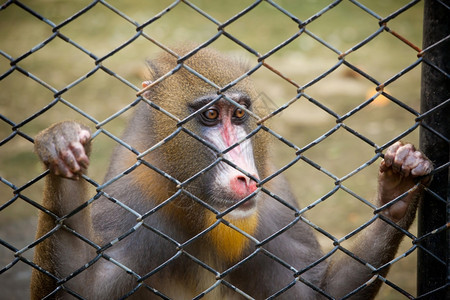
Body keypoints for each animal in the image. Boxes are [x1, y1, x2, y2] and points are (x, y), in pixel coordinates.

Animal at [30, 48, 432, 298]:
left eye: (238, 114)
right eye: (210, 115)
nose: (244, 177)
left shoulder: (274, 199)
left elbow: (315, 293)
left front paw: (400, 188)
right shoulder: (131, 198)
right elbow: (84, 289)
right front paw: (61, 147)